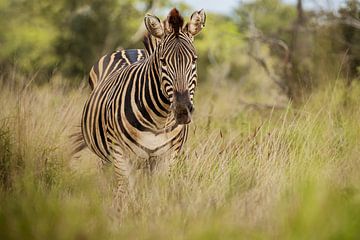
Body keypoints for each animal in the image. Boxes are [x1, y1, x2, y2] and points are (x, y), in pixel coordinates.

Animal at [76, 7, 205, 195]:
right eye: (163, 61)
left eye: (194, 60)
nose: (182, 110)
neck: (158, 121)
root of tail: (128, 50)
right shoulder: (119, 154)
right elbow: (125, 193)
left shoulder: (167, 157)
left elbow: (156, 194)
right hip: (109, 155)